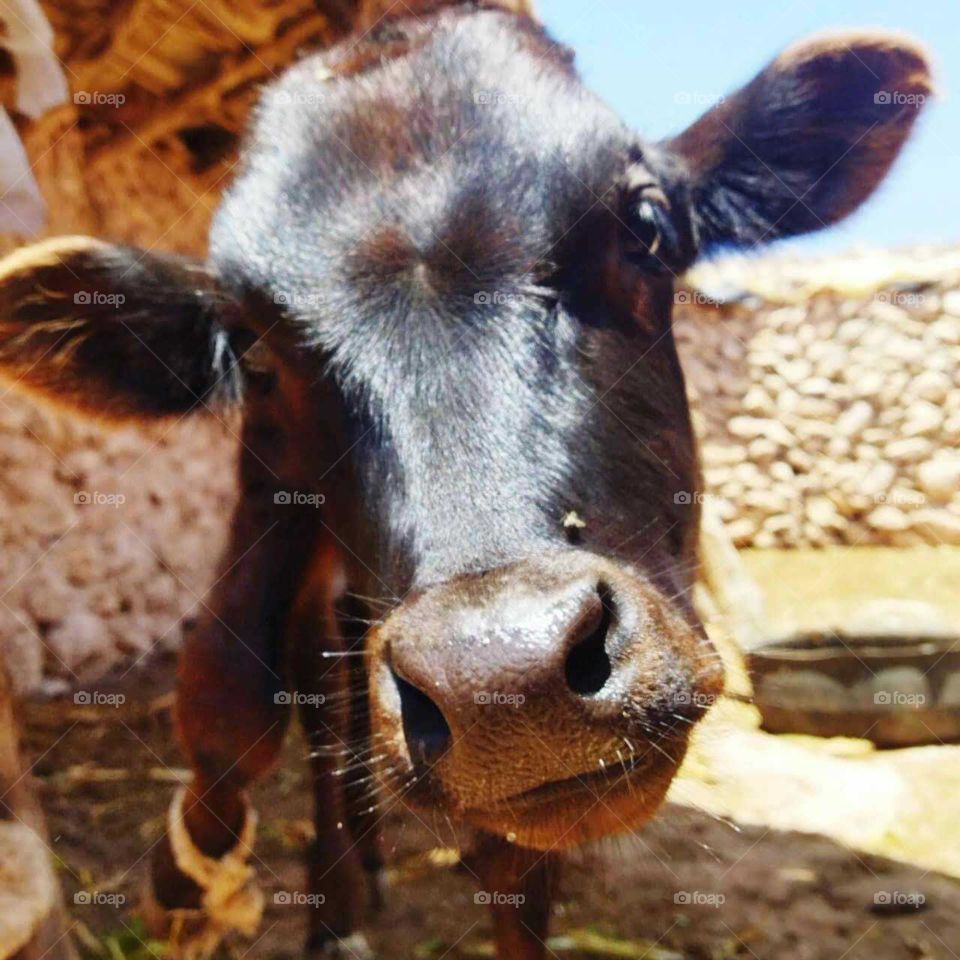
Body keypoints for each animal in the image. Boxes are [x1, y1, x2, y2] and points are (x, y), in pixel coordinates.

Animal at [0, 3, 928, 956]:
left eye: (646, 227)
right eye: (253, 349)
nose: (501, 676)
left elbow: (514, 864)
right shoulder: (267, 480)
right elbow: (231, 686)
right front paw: (190, 877)